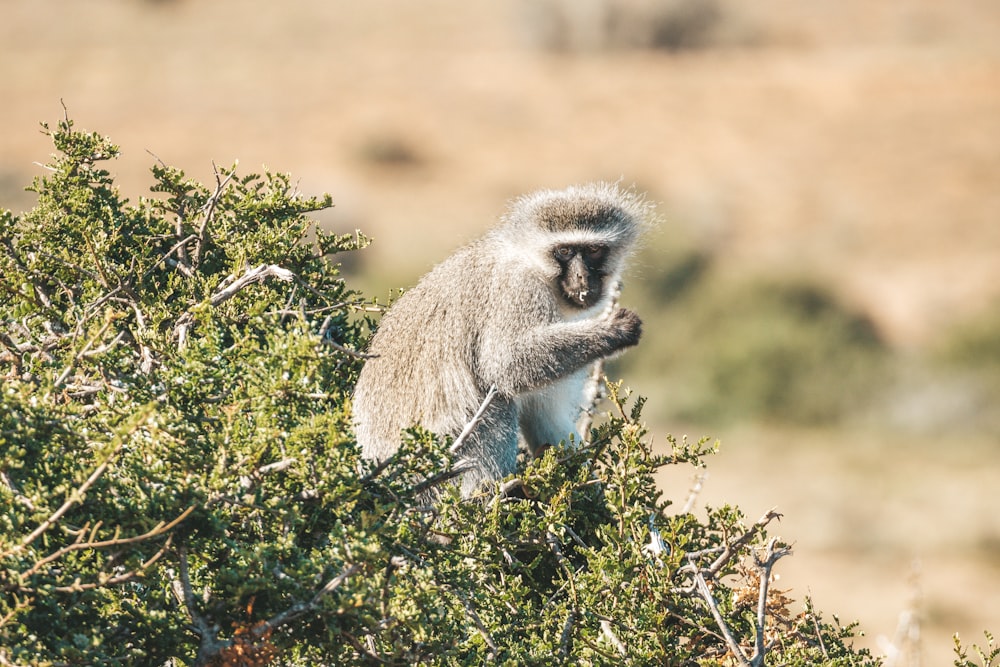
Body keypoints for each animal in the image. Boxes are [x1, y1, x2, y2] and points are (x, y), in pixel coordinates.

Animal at [356, 183, 652, 496]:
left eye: (594, 250)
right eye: (564, 251)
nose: (582, 277)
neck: (537, 266)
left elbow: (545, 415)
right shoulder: (520, 289)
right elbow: (506, 363)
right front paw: (614, 329)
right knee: (497, 400)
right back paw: (487, 494)